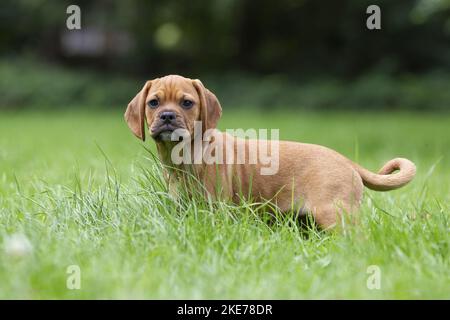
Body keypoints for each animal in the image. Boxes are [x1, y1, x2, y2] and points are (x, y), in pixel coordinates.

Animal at [125, 75, 416, 230]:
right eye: (153, 102)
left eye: (187, 103)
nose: (167, 116)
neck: (184, 156)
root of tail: (346, 161)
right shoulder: (182, 207)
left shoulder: (217, 209)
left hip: (334, 214)